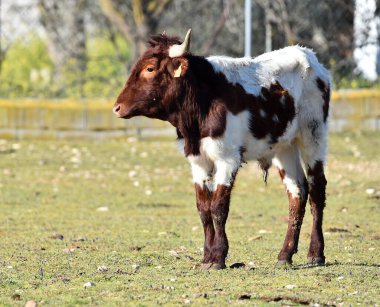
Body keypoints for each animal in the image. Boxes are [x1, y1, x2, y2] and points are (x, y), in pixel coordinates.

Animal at [112, 29, 330, 270]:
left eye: (150, 69)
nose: (117, 108)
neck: (203, 102)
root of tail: (308, 56)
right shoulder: (198, 160)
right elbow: (203, 208)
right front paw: (206, 257)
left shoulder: (227, 159)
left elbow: (218, 207)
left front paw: (218, 256)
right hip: (285, 147)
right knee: (297, 193)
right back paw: (285, 255)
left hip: (314, 135)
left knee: (317, 191)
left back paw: (316, 253)